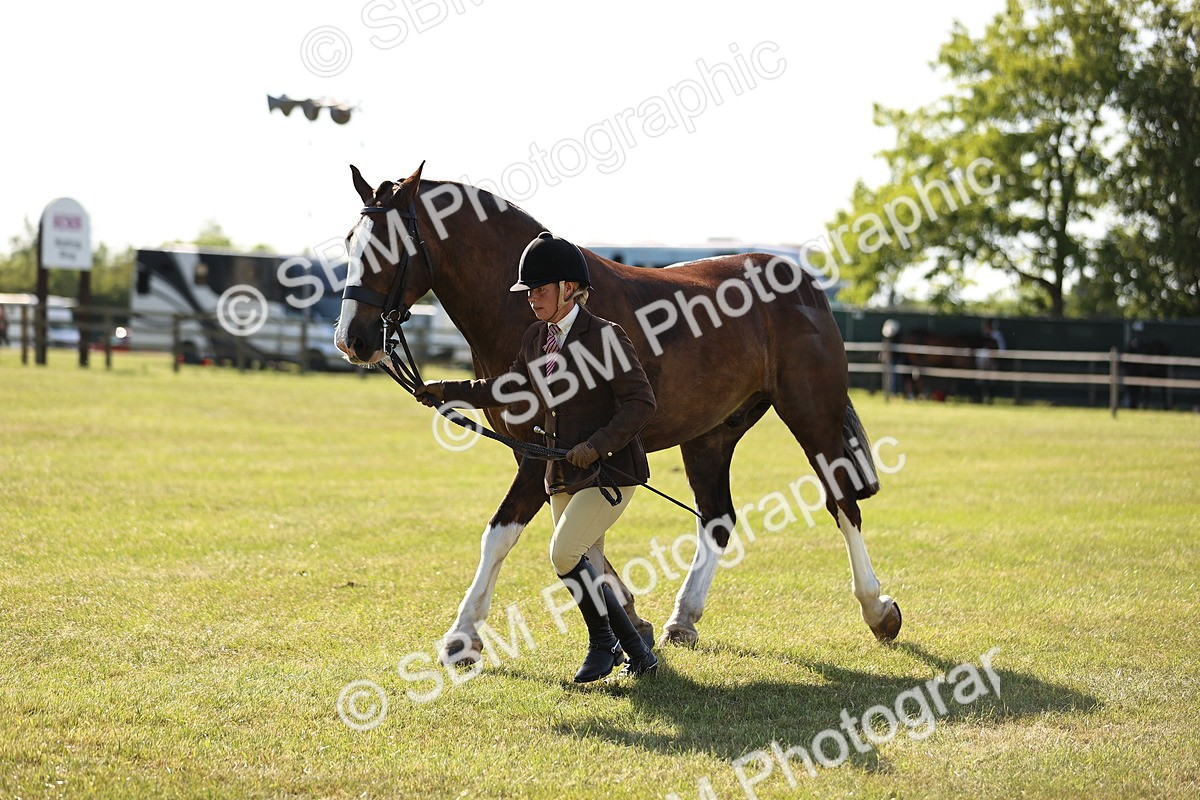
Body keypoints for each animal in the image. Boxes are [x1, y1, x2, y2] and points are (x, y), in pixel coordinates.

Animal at [334, 163, 903, 665]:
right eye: (349, 241)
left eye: (389, 248)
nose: (352, 340)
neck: (522, 312)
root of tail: (803, 283)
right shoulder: (553, 455)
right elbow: (580, 541)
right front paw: (632, 616)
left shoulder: (542, 454)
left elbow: (501, 535)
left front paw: (462, 636)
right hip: (711, 436)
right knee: (718, 518)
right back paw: (683, 618)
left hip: (812, 416)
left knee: (842, 502)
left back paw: (877, 610)